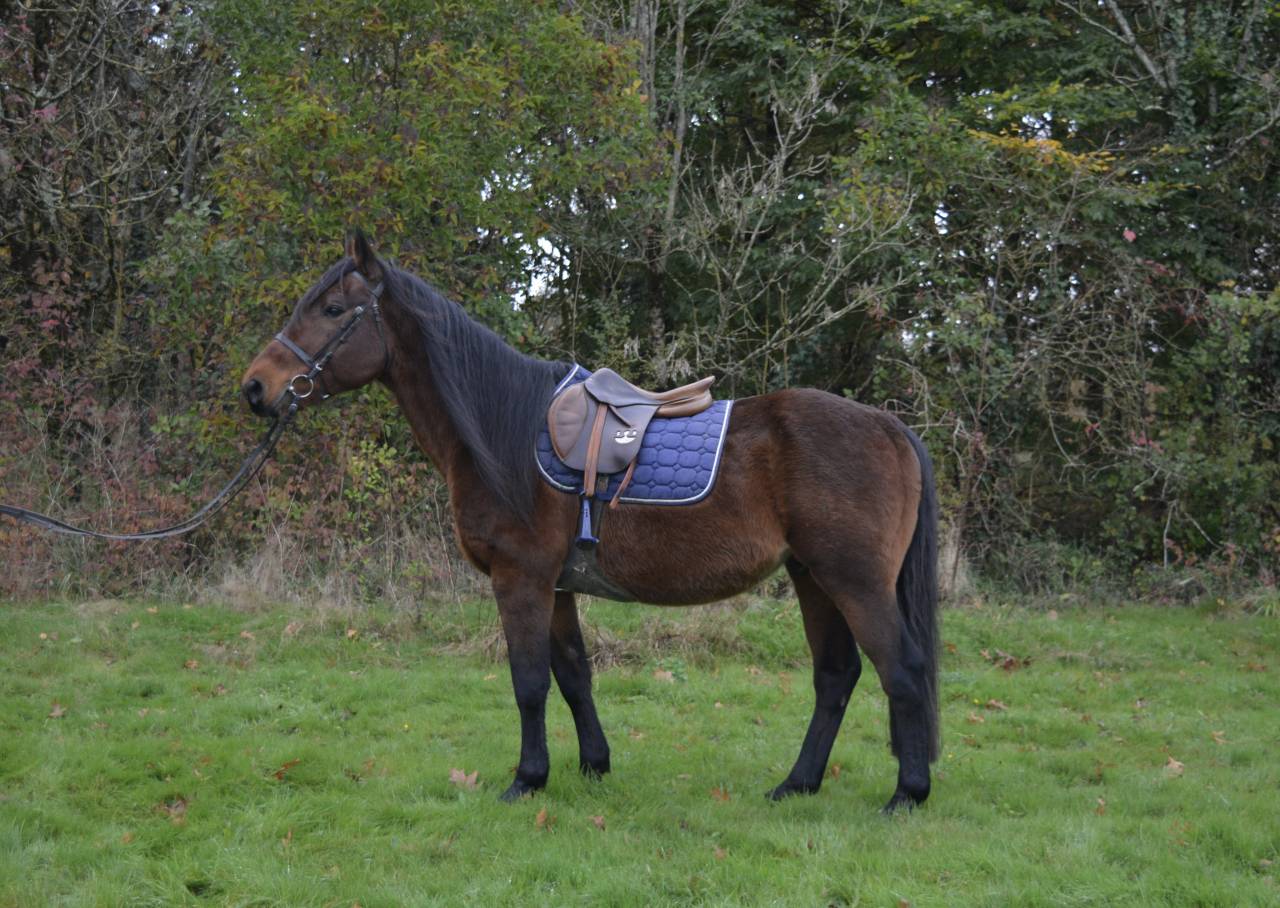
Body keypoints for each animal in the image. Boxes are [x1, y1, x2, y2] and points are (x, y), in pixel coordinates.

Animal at [241, 232, 940, 812]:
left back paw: (907, 794)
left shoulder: (519, 578)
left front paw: (526, 779)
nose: (255, 388)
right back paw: (797, 784)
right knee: (836, 677)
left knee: (901, 670)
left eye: (334, 311)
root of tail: (890, 426)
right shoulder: (555, 586)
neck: (503, 431)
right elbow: (574, 676)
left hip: (852, 580)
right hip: (812, 577)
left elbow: (528, 682)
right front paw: (593, 766)